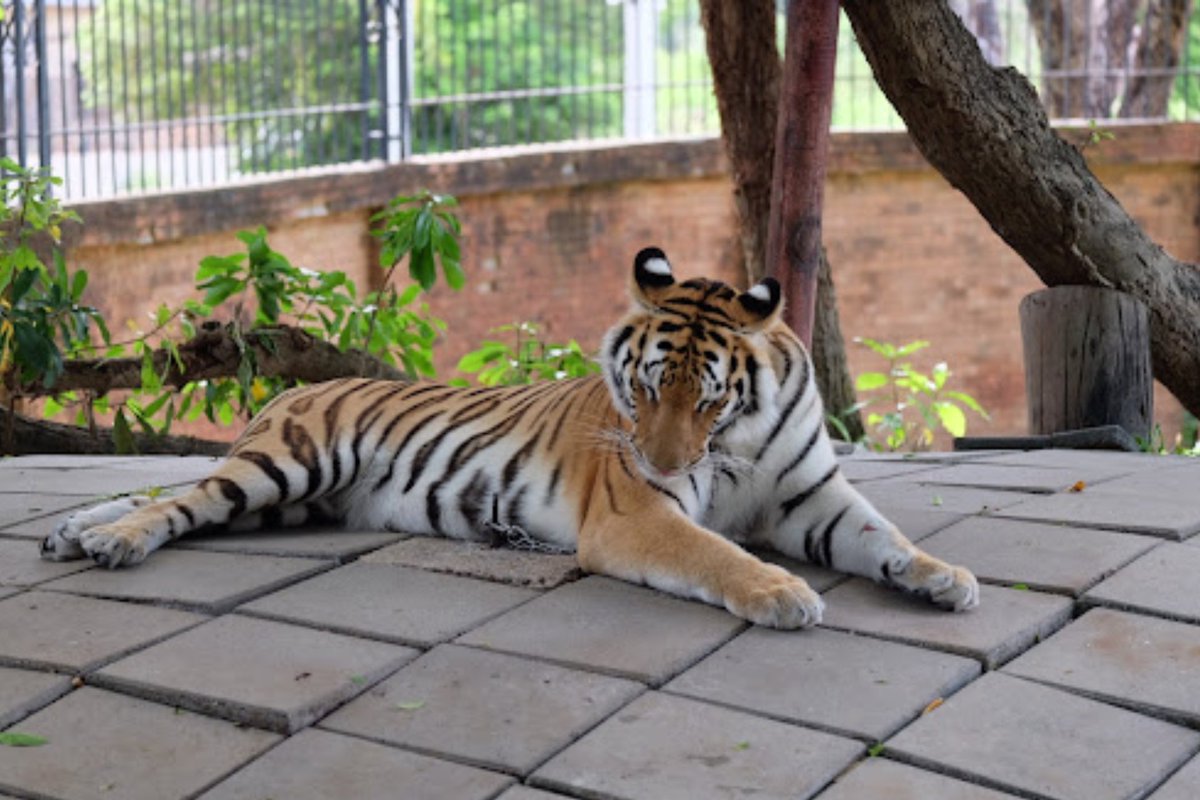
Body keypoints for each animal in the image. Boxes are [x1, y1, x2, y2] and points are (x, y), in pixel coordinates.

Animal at [41, 247, 979, 629]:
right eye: (647, 389)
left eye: (709, 399)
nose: (657, 458)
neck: (735, 442)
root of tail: (301, 388)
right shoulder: (640, 514)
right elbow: (718, 553)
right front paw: (783, 593)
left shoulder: (812, 496)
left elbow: (885, 537)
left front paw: (943, 579)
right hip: (287, 465)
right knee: (179, 502)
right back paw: (111, 543)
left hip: (293, 500)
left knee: (187, 496)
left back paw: (73, 533)